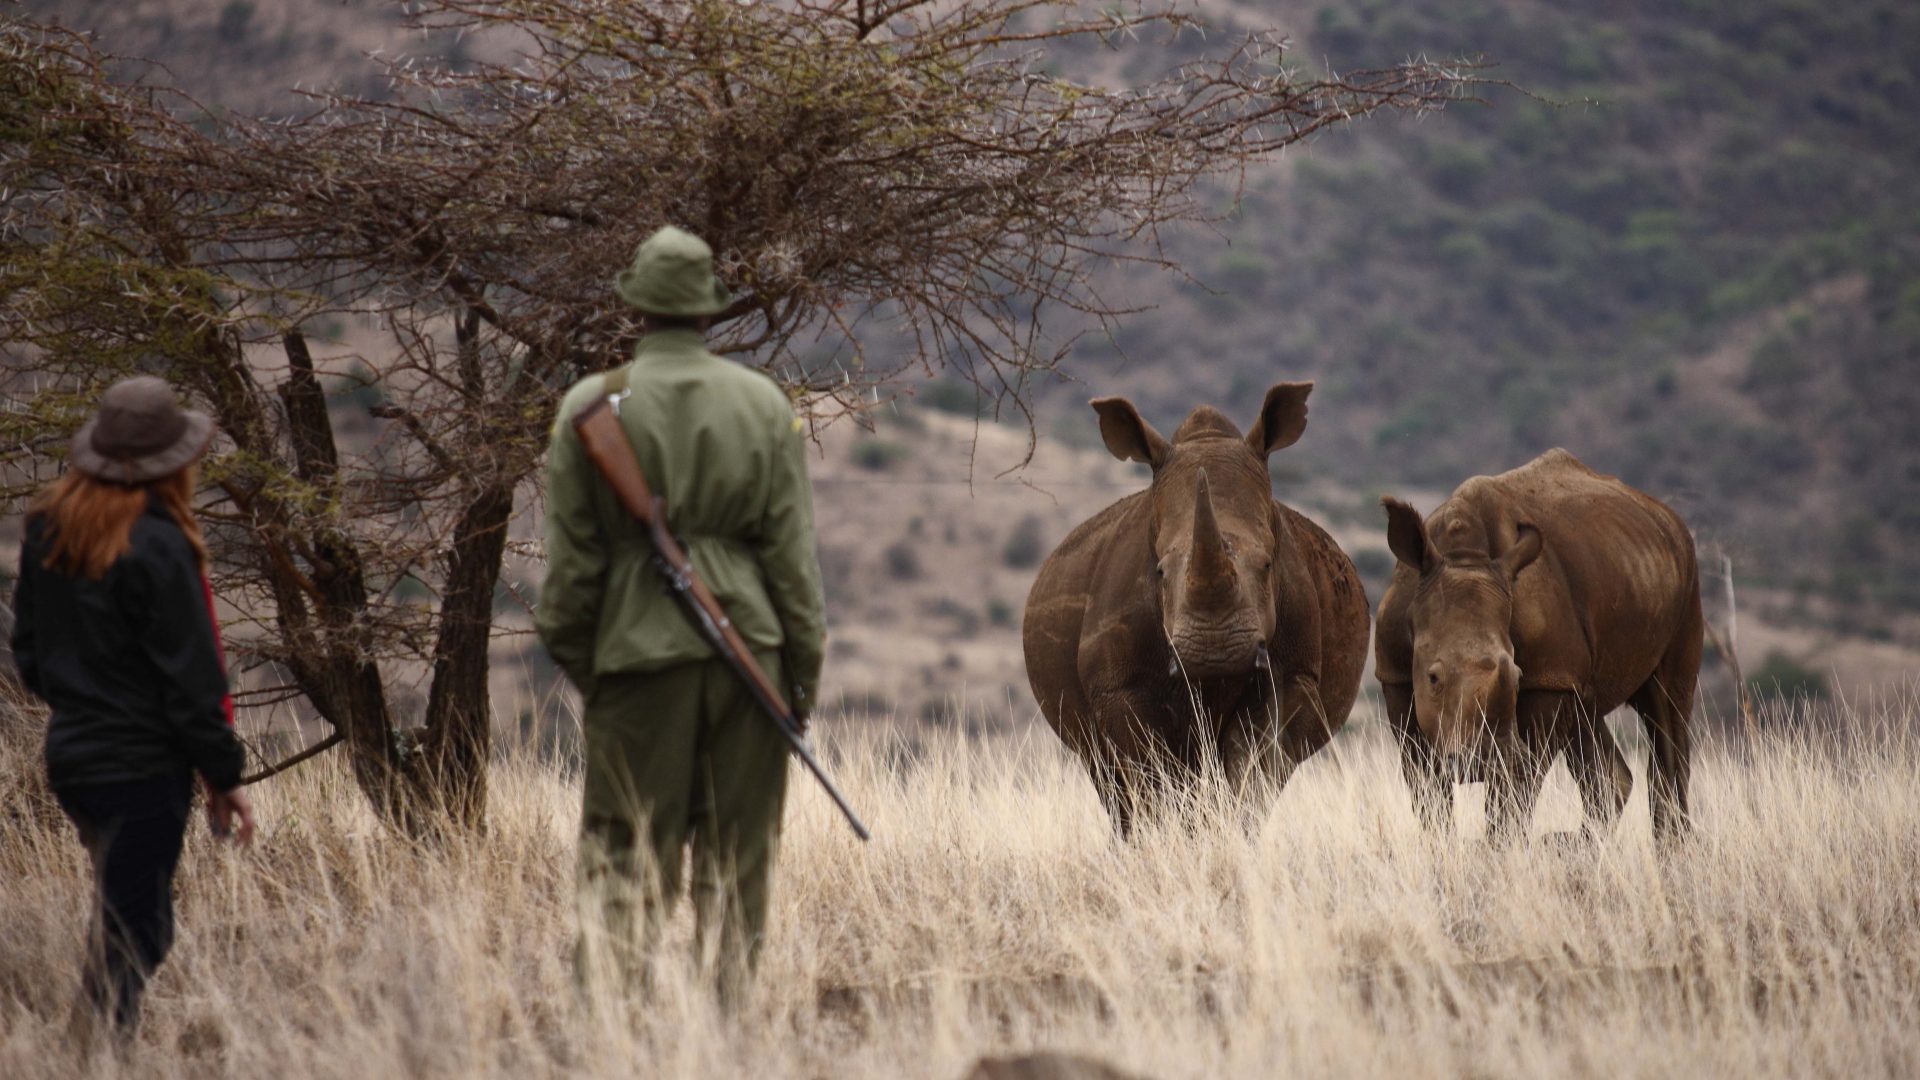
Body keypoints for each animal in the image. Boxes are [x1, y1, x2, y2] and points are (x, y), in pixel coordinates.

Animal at [1022, 383, 1371, 832]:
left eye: (1268, 565)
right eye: (1159, 571)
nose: (1214, 654)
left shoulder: (1293, 675)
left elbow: (1250, 773)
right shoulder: (1118, 686)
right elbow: (1151, 779)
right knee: (1110, 778)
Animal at [1374, 449, 1703, 843]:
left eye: (1517, 677)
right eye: (1433, 678)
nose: (1479, 762)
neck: (1464, 556)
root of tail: (1667, 517)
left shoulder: (1547, 677)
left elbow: (1513, 794)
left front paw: (1499, 853)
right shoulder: (1395, 675)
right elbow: (1427, 790)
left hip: (1687, 581)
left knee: (1667, 710)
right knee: (1590, 719)